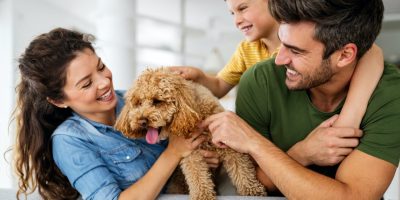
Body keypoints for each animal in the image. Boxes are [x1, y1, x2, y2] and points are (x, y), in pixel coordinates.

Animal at [114, 68, 268, 199]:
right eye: (138, 103)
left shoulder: (228, 141)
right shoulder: (190, 153)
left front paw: (252, 191)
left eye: (157, 101)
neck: (194, 112)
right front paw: (202, 196)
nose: (141, 121)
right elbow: (197, 175)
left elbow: (242, 169)